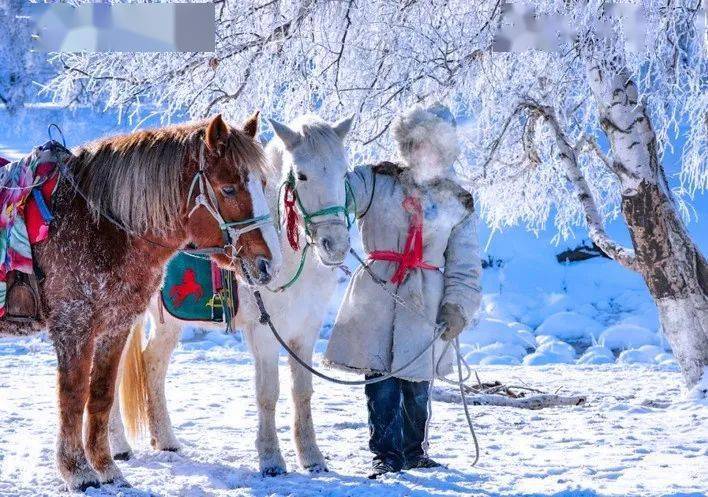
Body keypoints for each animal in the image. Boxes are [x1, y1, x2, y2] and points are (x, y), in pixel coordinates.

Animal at [25, 114, 280, 490]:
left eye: (263, 183)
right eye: (229, 189)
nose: (268, 264)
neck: (97, 224)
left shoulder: (115, 326)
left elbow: (101, 394)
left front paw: (106, 468)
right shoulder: (73, 325)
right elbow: (72, 397)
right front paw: (78, 471)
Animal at [108, 114, 354, 474]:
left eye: (343, 172)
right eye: (302, 175)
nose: (335, 245)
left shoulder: (305, 332)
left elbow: (302, 391)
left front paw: (311, 456)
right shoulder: (265, 333)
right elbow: (268, 393)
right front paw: (271, 458)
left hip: (169, 321)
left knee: (153, 361)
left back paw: (165, 439)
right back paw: (118, 446)